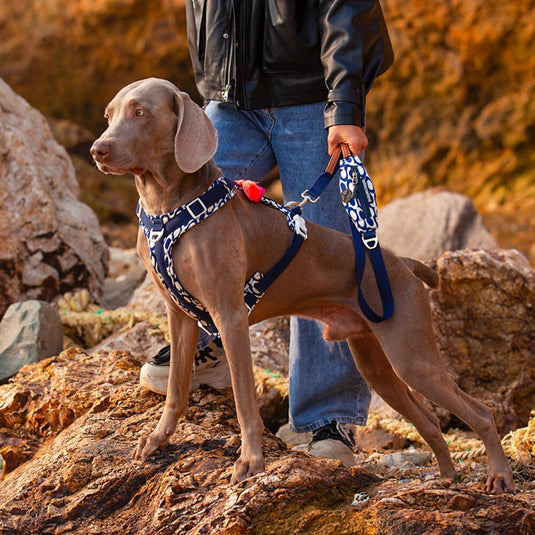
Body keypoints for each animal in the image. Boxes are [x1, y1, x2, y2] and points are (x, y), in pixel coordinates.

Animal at [91, 77, 516, 492]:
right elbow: (177, 391)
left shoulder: (230, 316)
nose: (98, 150)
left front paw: (251, 462)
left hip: (411, 355)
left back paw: (498, 476)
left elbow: (245, 402)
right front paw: (158, 439)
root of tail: (403, 263)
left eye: (141, 112)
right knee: (429, 420)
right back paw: (446, 480)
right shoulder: (179, 315)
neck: (169, 209)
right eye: (109, 115)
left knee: (480, 411)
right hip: (376, 362)